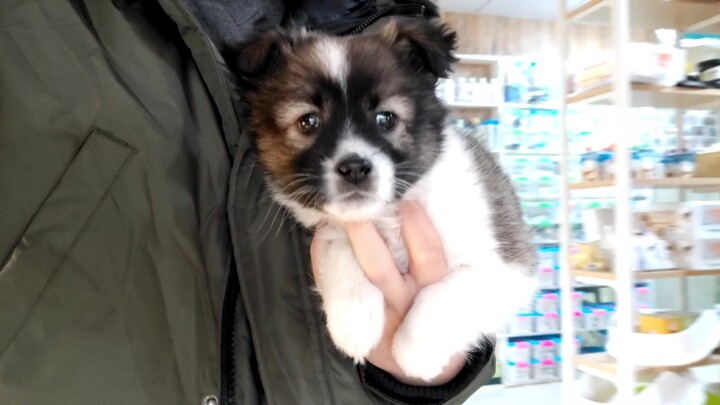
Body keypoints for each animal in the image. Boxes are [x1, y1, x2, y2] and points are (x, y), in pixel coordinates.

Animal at [228, 18, 536, 378]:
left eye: (386, 118)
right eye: (308, 121)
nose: (354, 168)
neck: (387, 216)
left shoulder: (508, 268)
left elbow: (445, 294)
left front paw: (415, 350)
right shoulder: (336, 229)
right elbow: (340, 250)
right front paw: (353, 320)